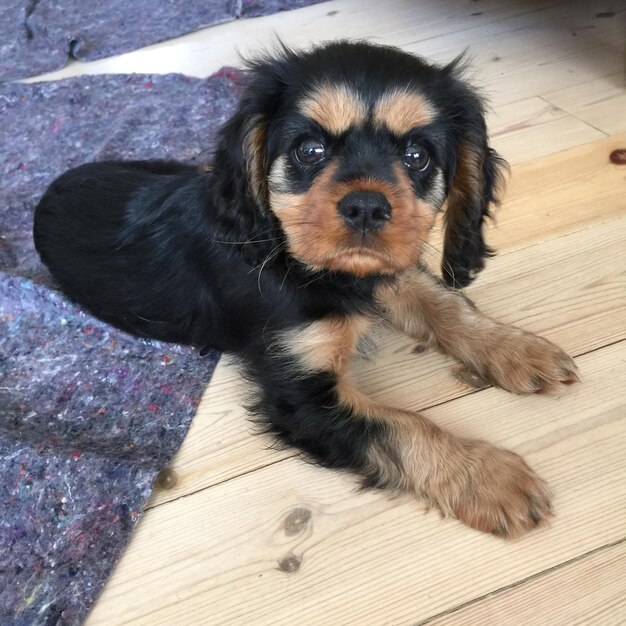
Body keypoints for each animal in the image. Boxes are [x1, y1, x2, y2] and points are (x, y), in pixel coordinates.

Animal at [35, 40, 580, 536]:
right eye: (309, 150)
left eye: (417, 155)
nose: (366, 207)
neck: (308, 264)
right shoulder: (301, 397)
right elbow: (402, 425)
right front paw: (489, 477)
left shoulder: (384, 269)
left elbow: (441, 300)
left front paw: (519, 349)